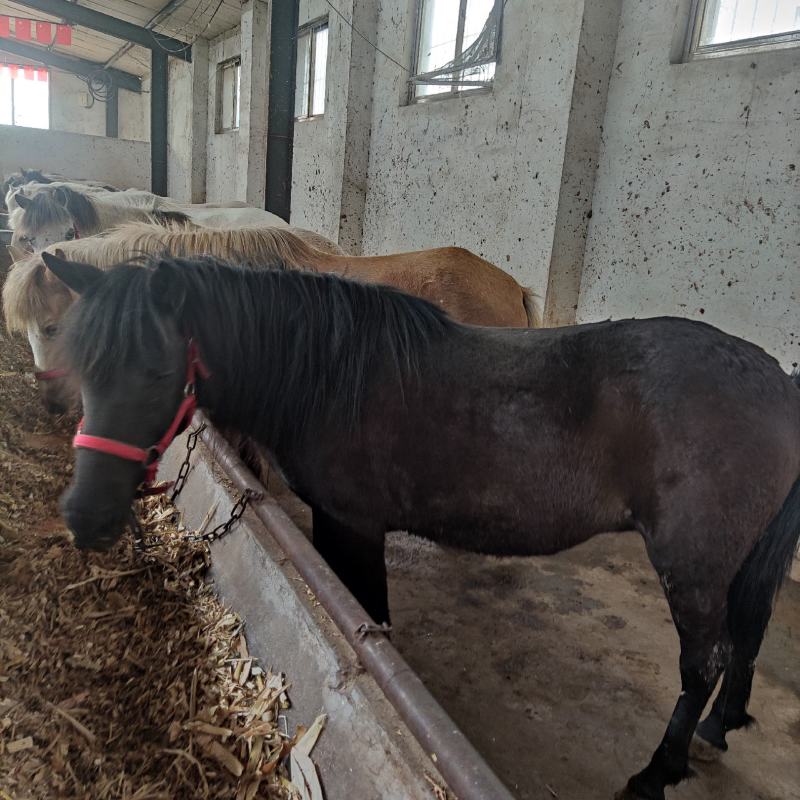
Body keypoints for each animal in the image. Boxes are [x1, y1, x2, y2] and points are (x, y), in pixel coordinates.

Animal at [44, 250, 800, 800]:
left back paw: (655, 775)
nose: (86, 517)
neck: (325, 376)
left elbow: (370, 613)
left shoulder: (353, 525)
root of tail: (775, 380)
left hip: (692, 565)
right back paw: (718, 728)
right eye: (84, 366)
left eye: (155, 370)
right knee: (747, 636)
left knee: (704, 661)